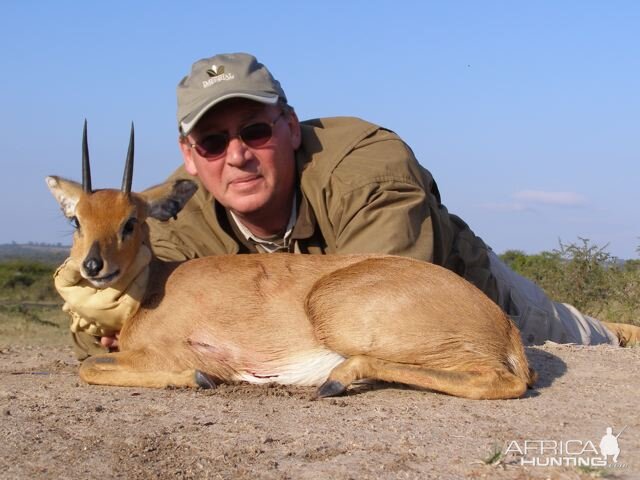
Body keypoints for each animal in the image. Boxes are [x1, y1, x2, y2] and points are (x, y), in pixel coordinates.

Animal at [46, 124, 536, 402]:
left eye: (131, 221)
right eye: (76, 219)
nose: (93, 266)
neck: (152, 289)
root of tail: (502, 324)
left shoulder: (168, 351)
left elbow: (89, 368)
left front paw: (196, 378)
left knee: (501, 381)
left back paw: (337, 380)